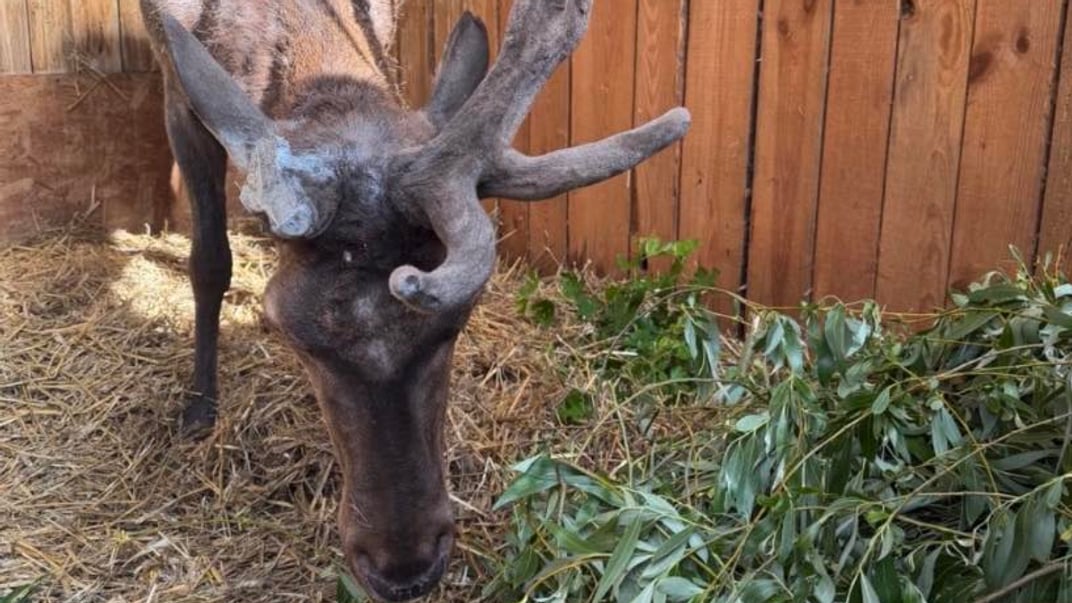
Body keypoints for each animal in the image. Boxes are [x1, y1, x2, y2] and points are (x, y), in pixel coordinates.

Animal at [138, 0, 689, 600]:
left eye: (456, 321)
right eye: (290, 333)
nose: (405, 570)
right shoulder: (175, 89)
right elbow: (209, 259)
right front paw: (199, 408)